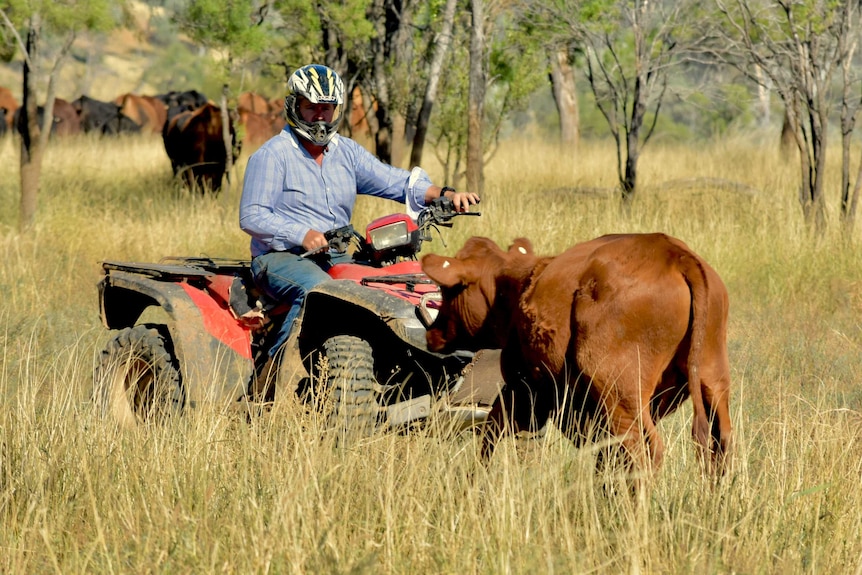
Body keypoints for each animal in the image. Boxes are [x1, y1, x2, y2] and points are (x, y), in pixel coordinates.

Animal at [422, 234, 732, 482]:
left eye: (448, 290)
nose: (431, 332)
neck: (516, 284)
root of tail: (674, 253)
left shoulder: (524, 389)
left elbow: (498, 433)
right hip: (711, 379)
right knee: (720, 443)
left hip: (619, 394)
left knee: (642, 450)